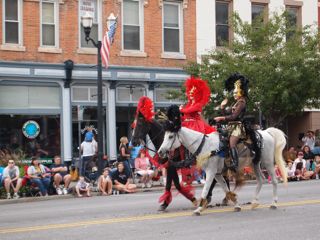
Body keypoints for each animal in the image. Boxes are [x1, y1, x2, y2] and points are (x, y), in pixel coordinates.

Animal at [158, 126, 288, 215]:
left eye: (170, 136)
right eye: (164, 136)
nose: (160, 152)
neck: (205, 147)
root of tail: (266, 132)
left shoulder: (210, 172)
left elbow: (205, 190)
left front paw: (199, 208)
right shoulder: (217, 174)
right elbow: (226, 189)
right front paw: (236, 205)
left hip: (268, 162)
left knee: (274, 180)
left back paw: (274, 203)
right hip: (255, 163)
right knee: (261, 180)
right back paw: (255, 202)